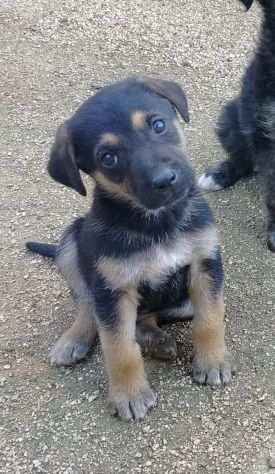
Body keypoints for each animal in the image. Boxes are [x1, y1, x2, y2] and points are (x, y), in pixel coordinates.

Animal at [26, 76, 233, 420]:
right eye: (108, 157)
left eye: (158, 124)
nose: (165, 180)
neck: (156, 223)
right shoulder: (113, 289)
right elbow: (118, 347)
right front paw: (129, 395)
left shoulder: (205, 263)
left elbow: (210, 318)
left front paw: (213, 361)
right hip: (72, 240)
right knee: (89, 305)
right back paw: (74, 340)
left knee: (146, 318)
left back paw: (157, 341)